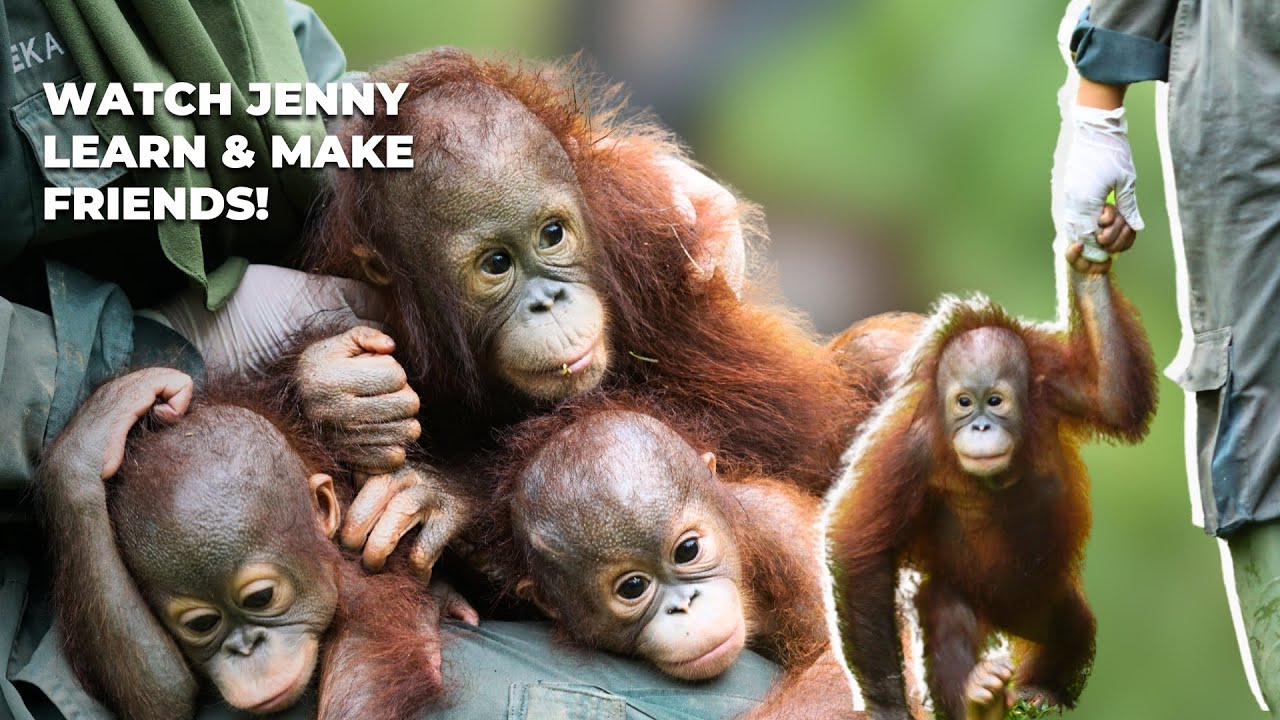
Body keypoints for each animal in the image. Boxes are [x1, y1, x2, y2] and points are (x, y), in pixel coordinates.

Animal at [38, 368, 474, 720]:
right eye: (202, 624)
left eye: (260, 599)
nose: (245, 649)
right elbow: (162, 693)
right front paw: (103, 423)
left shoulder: (363, 588)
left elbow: (364, 677)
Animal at [823, 249, 1158, 720]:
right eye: (964, 402)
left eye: (995, 400)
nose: (980, 426)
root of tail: (1005, 620)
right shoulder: (905, 451)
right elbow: (859, 548)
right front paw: (887, 707)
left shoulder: (1055, 390)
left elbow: (1113, 400)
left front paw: (1090, 267)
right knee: (948, 615)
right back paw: (977, 699)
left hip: (1042, 602)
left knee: (1072, 623)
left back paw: (1040, 690)